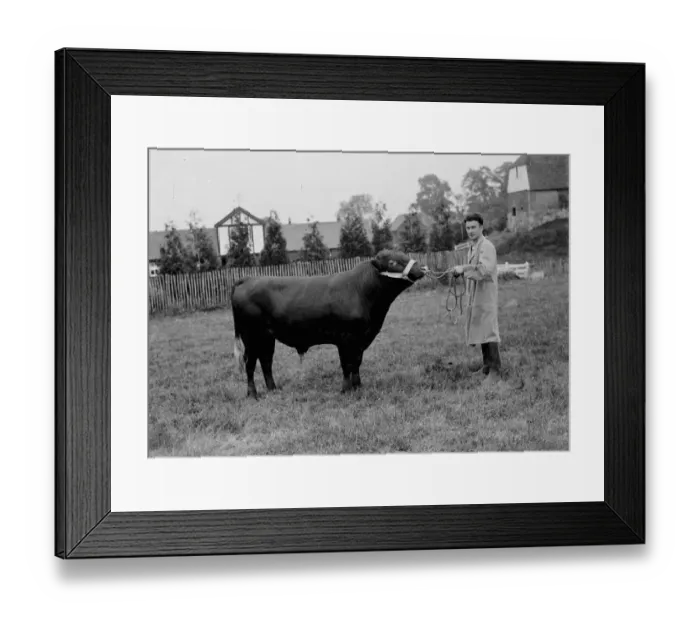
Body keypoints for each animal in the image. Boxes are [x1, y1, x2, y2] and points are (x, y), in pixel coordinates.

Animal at [230, 249, 426, 398]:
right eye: (392, 262)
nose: (421, 268)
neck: (362, 290)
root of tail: (248, 279)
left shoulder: (361, 339)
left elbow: (356, 362)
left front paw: (358, 386)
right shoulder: (345, 338)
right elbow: (346, 364)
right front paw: (346, 389)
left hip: (267, 338)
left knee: (266, 361)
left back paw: (273, 389)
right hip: (251, 337)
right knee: (250, 363)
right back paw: (252, 394)